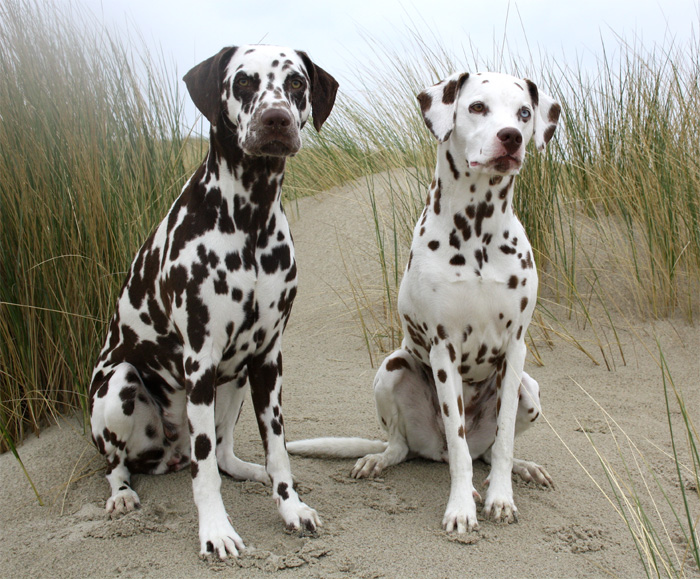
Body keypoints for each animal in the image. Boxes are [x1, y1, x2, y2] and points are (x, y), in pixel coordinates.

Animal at [89, 43, 340, 560]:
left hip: (237, 376)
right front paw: (215, 530)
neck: (251, 218)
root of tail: (170, 451)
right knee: (123, 463)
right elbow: (203, 472)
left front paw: (290, 506)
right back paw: (122, 494)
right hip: (119, 385)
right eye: (243, 82)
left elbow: (277, 450)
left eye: (296, 83)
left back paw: (250, 471)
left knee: (223, 454)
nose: (275, 119)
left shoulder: (267, 359)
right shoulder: (200, 362)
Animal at [288, 71, 560, 536]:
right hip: (391, 369)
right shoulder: (443, 348)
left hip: (531, 388)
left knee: (485, 452)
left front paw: (501, 497)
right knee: (417, 448)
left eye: (524, 113)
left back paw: (520, 469)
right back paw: (382, 459)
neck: (478, 229)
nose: (510, 137)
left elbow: (503, 441)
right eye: (477, 107)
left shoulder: (516, 349)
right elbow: (459, 443)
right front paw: (461, 507)